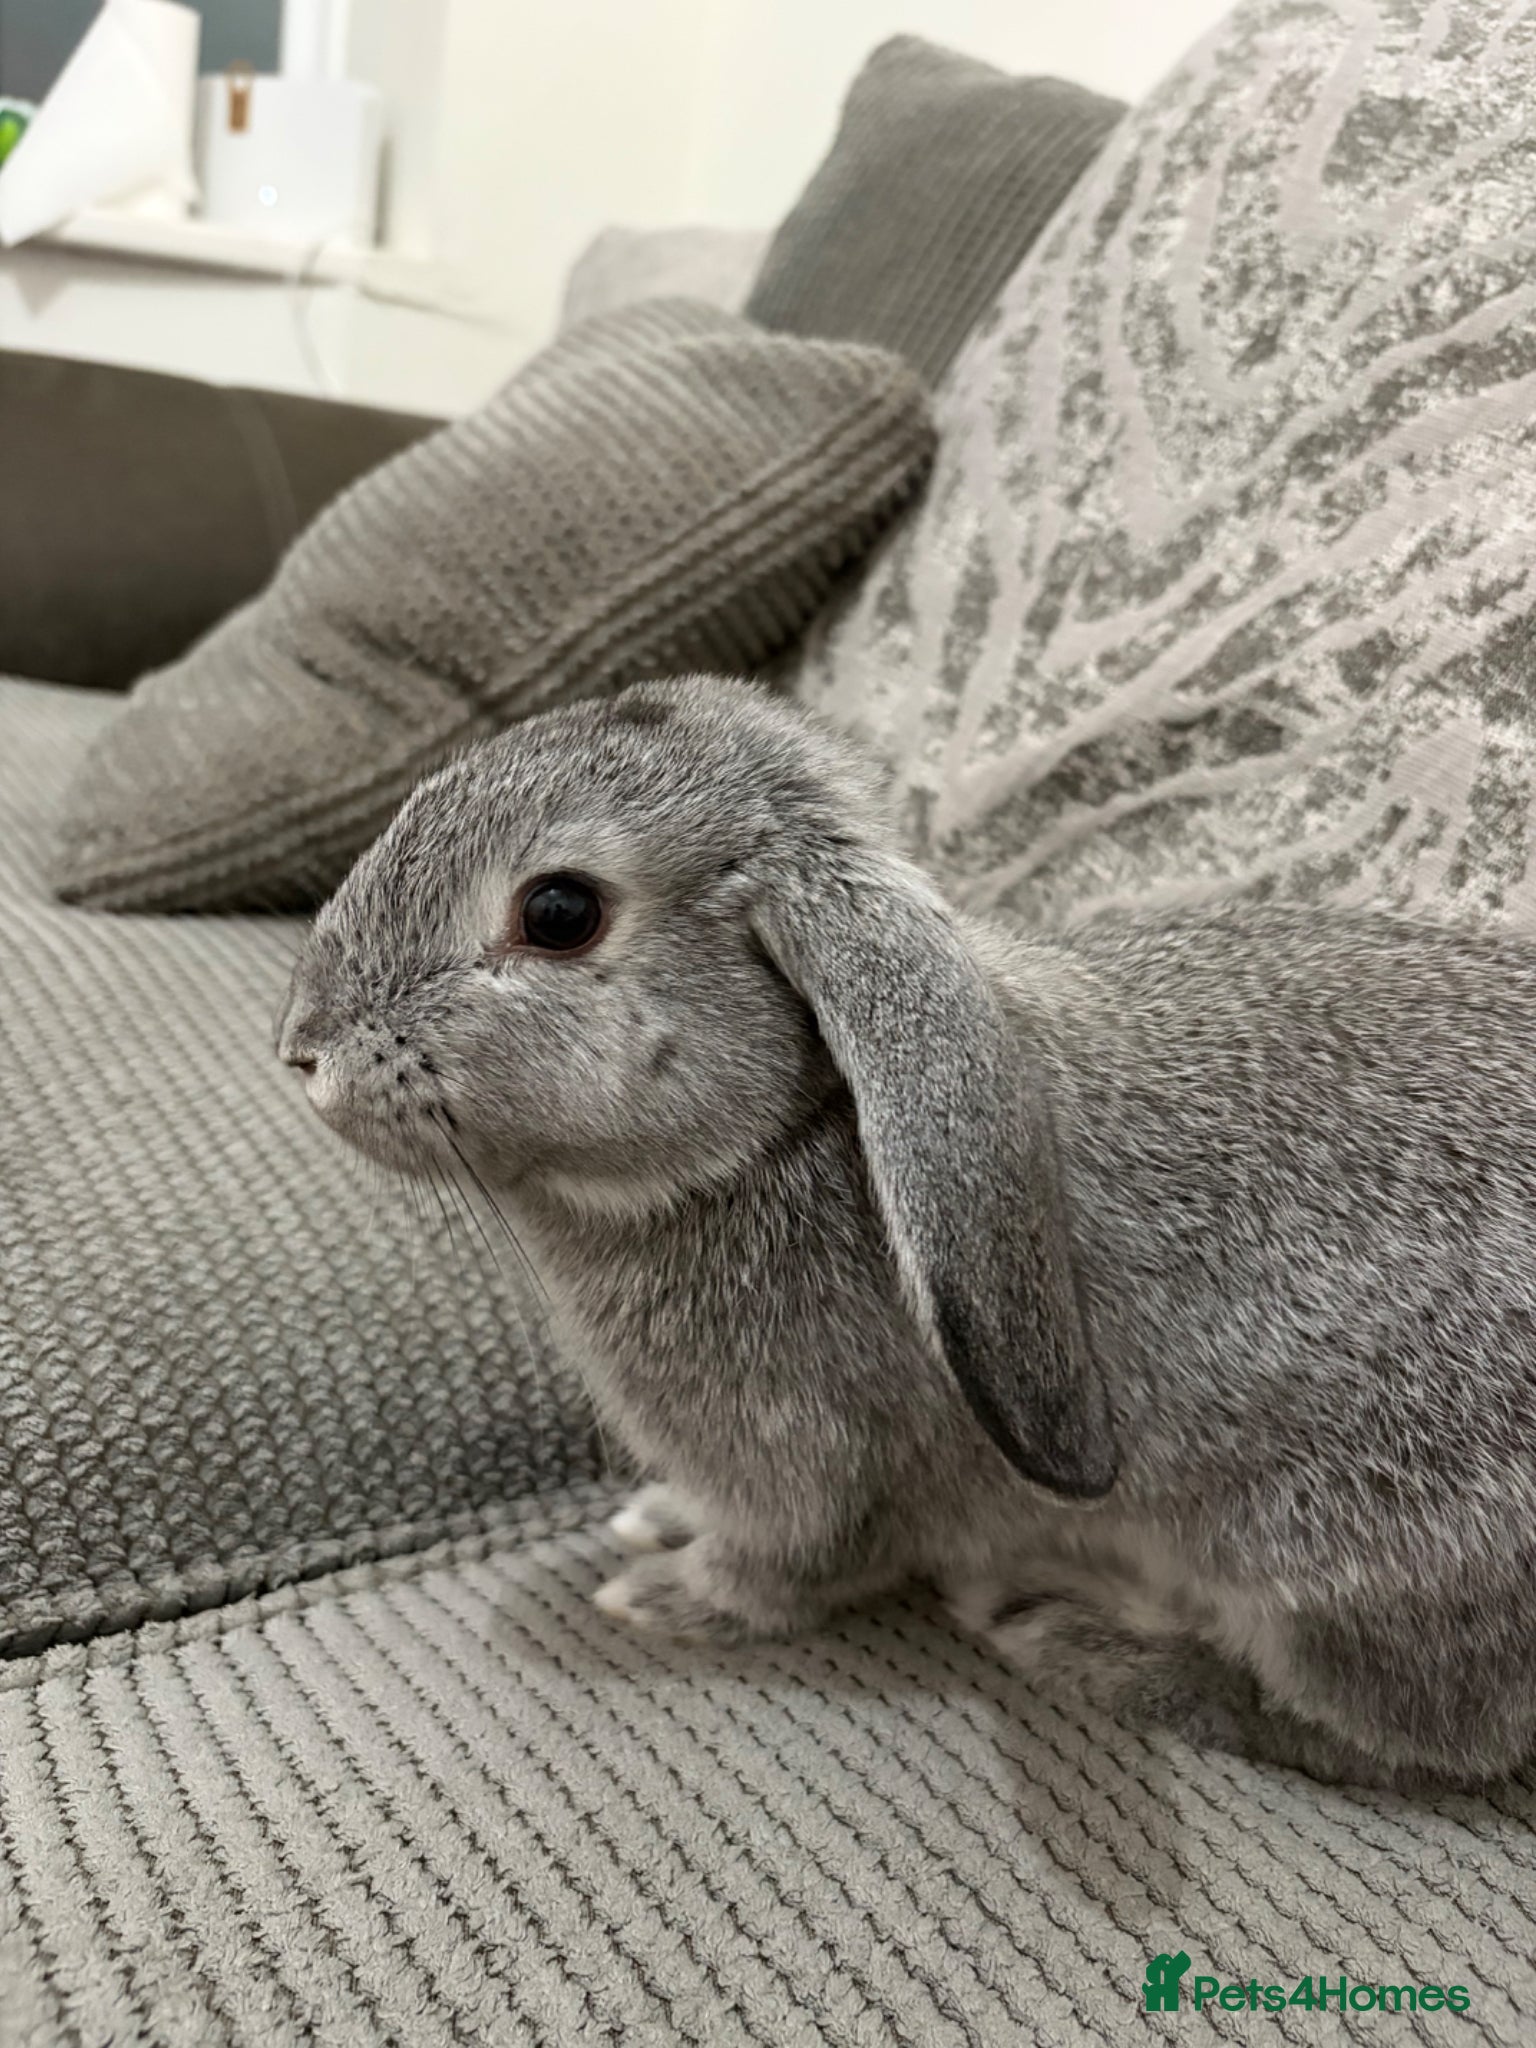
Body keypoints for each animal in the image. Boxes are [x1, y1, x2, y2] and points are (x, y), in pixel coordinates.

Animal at [278, 673, 1536, 1792]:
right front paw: (648, 1520)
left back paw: (1077, 1635)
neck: (779, 1134)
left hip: (1335, 1575)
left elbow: (775, 1573)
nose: (303, 1048)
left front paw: (659, 1594)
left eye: (558, 913)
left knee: (1372, 1737)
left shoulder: (813, 1474)